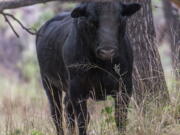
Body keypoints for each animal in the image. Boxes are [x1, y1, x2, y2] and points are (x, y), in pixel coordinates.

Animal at [35, 1, 141, 135]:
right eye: (91, 21)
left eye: (121, 19)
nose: (107, 51)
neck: (102, 65)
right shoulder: (77, 90)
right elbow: (83, 120)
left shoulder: (124, 87)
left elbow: (120, 117)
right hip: (49, 84)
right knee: (57, 114)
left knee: (67, 109)